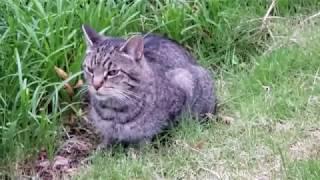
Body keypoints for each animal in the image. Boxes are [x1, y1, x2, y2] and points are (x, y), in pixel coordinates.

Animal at [81, 24, 216, 148]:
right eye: (90, 69)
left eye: (113, 72)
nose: (96, 84)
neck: (114, 110)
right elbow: (107, 138)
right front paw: (101, 150)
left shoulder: (182, 83)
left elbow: (150, 134)